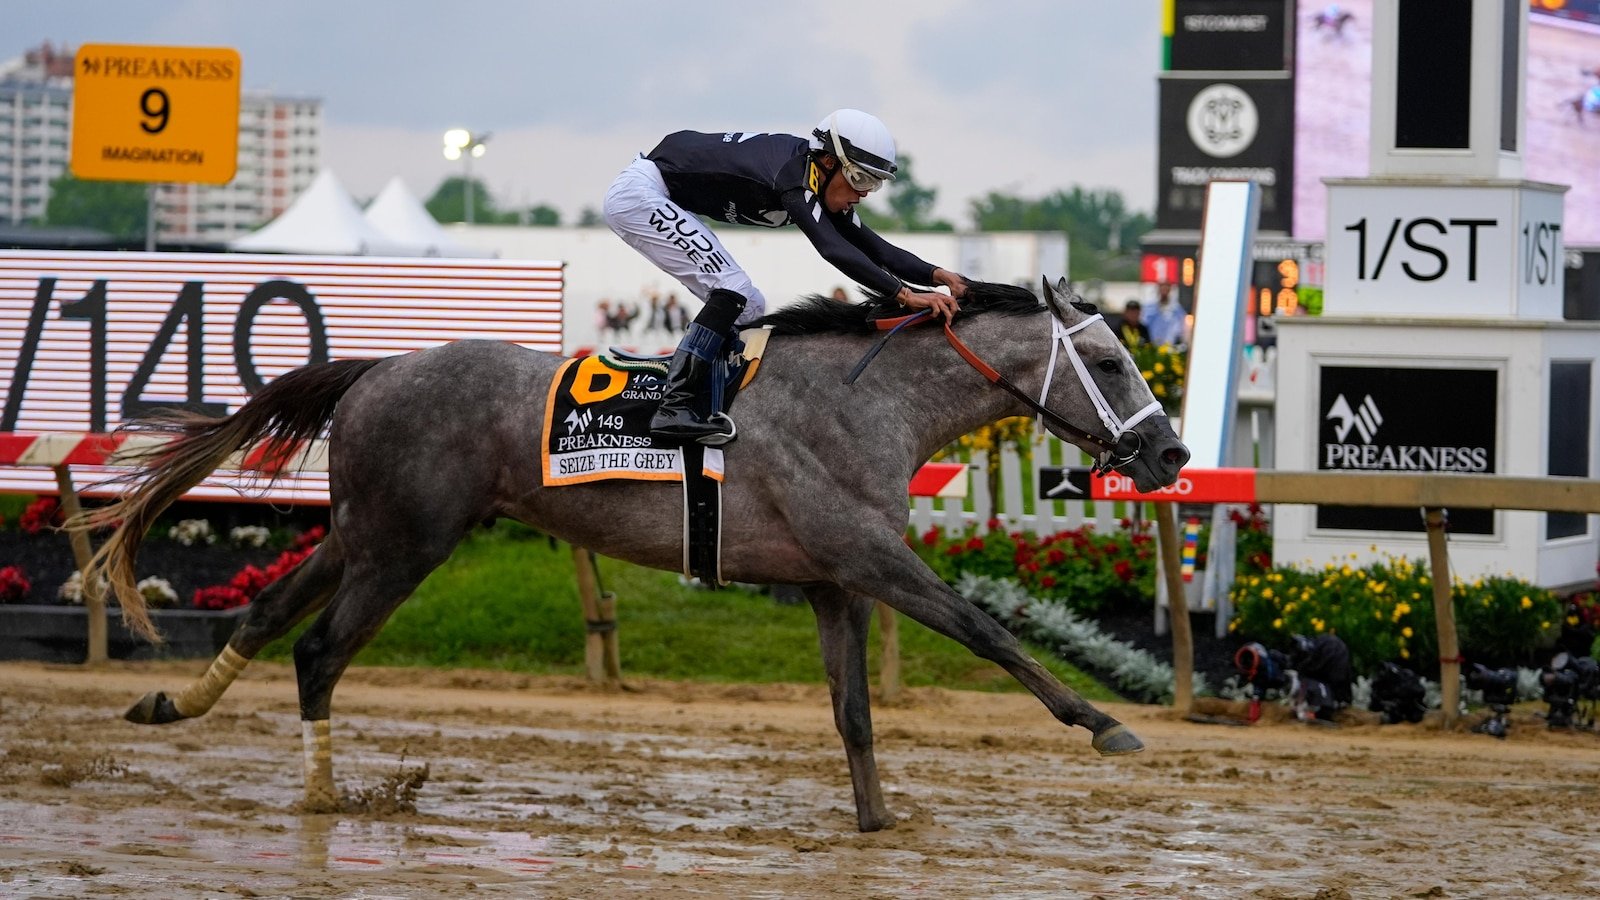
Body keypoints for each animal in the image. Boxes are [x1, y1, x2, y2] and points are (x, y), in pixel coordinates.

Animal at [81, 277, 1196, 832]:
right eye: (1108, 360)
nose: (1171, 453)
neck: (865, 402)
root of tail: (379, 368)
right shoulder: (869, 557)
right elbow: (986, 632)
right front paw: (1105, 724)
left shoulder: (830, 582)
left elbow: (854, 714)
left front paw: (877, 824)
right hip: (407, 545)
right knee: (318, 653)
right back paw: (319, 797)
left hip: (364, 532)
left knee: (267, 614)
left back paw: (170, 703)